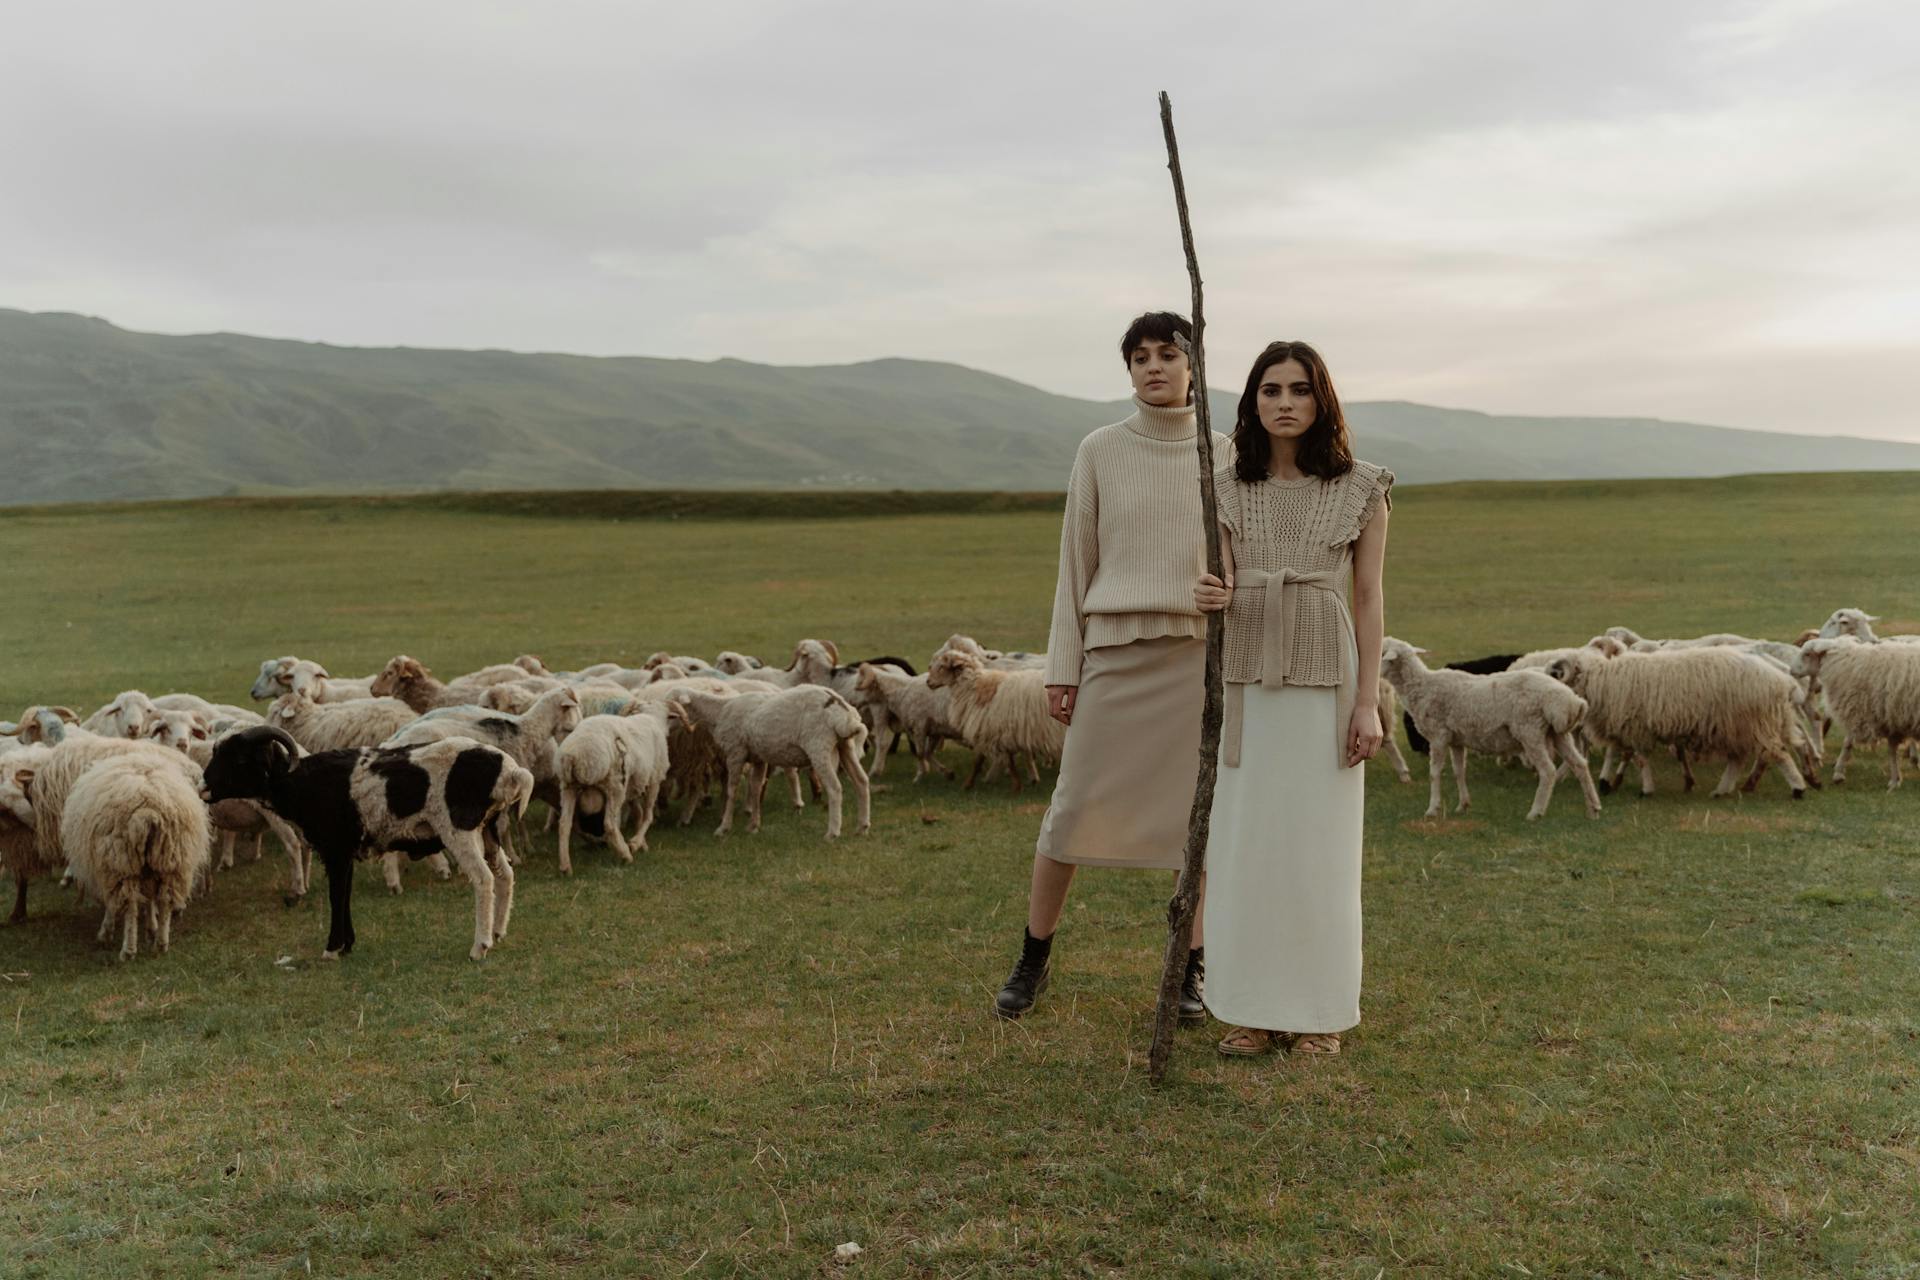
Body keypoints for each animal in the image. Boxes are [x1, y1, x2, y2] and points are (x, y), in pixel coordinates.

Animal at [200, 729, 533, 959]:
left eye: (239, 759)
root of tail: (510, 770)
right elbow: (345, 894)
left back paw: (480, 946)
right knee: (505, 875)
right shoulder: (346, 852)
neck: (301, 783)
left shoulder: (334, 850)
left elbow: (336, 896)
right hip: (489, 828)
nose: (203, 787)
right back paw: (499, 931)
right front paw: (347, 945)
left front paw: (332, 949)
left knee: (483, 879)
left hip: (460, 829)